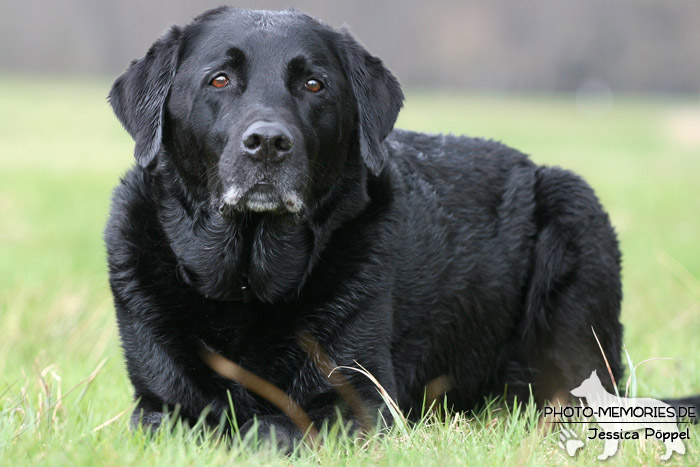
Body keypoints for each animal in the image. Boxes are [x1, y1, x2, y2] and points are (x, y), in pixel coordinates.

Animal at [106, 6, 696, 446]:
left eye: (314, 84)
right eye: (220, 79)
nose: (268, 143)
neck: (249, 287)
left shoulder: (360, 402)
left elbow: (268, 427)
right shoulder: (155, 405)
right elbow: (180, 421)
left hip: (575, 212)